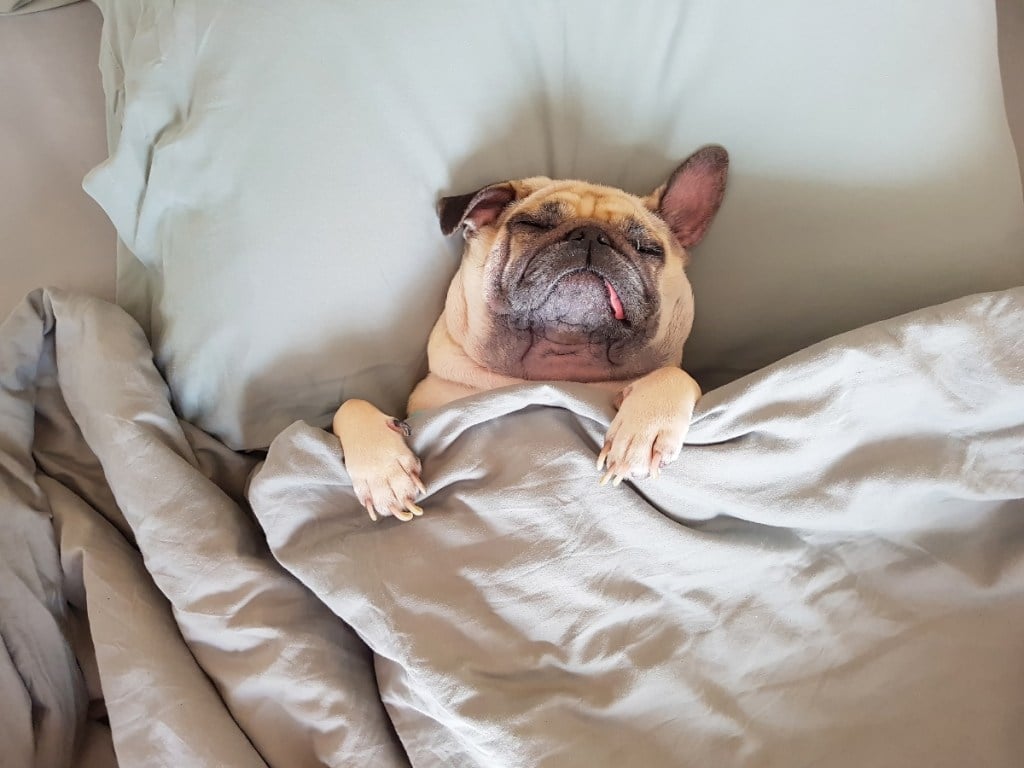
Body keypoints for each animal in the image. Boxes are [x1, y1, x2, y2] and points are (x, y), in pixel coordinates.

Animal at [333, 145, 729, 524]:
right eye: (531, 224)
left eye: (648, 249)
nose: (591, 235)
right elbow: (350, 405)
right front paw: (382, 472)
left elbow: (676, 375)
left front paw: (644, 430)